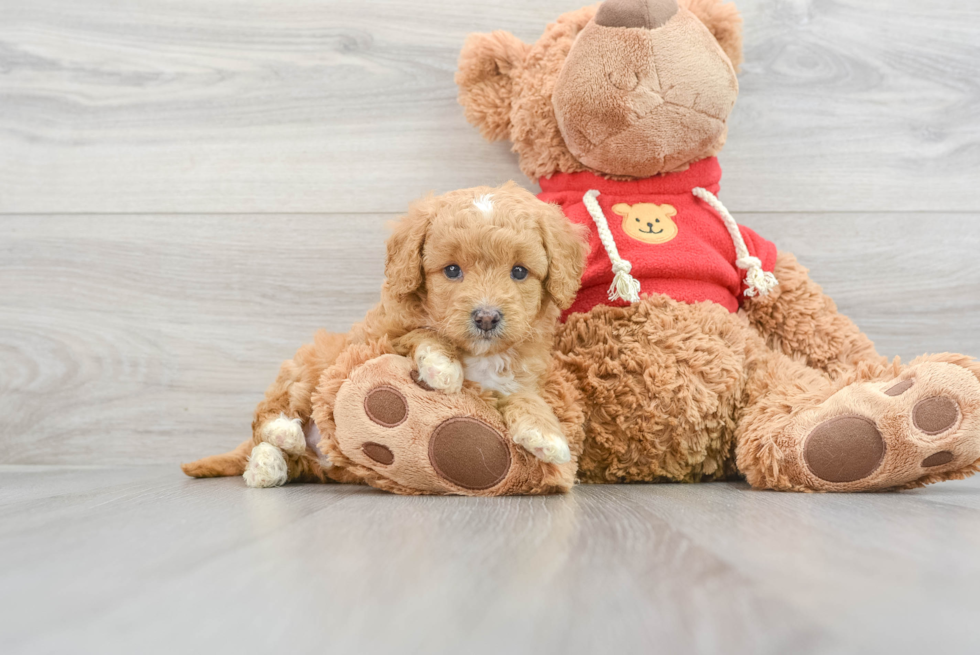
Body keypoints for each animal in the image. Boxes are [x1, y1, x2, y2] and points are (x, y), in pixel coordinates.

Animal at [181, 183, 584, 486]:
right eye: (452, 270)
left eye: (519, 272)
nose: (487, 317)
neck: (478, 354)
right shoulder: (377, 338)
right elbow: (422, 334)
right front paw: (443, 367)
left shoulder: (514, 378)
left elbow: (525, 397)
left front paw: (545, 434)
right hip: (310, 363)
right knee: (267, 416)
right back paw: (280, 438)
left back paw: (270, 465)